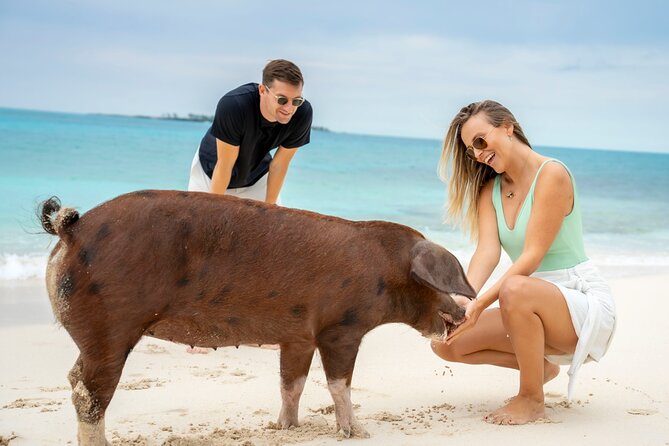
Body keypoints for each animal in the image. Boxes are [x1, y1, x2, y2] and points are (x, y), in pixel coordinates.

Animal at [38, 190, 475, 445]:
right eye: (443, 281)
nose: (465, 312)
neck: (386, 271)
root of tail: (69, 230)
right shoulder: (340, 330)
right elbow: (339, 384)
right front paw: (358, 433)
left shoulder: (298, 335)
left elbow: (291, 383)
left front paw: (285, 428)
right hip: (110, 329)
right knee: (88, 395)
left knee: (74, 380)